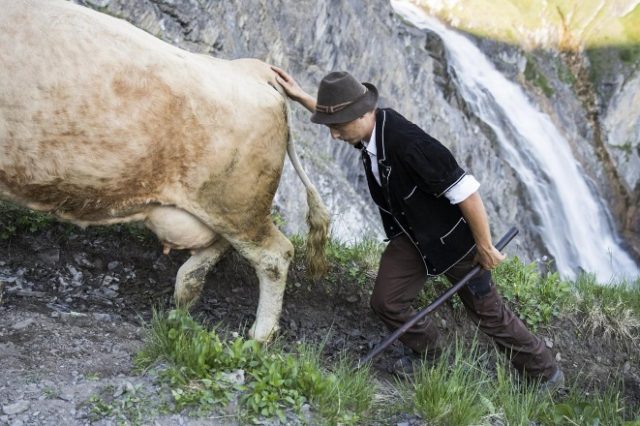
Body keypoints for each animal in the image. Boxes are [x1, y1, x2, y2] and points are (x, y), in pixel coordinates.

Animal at [0, 0, 330, 342]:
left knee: (275, 255)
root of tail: (252, 68)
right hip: (220, 203)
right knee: (216, 251)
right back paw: (183, 298)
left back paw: (259, 336)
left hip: (239, 200)